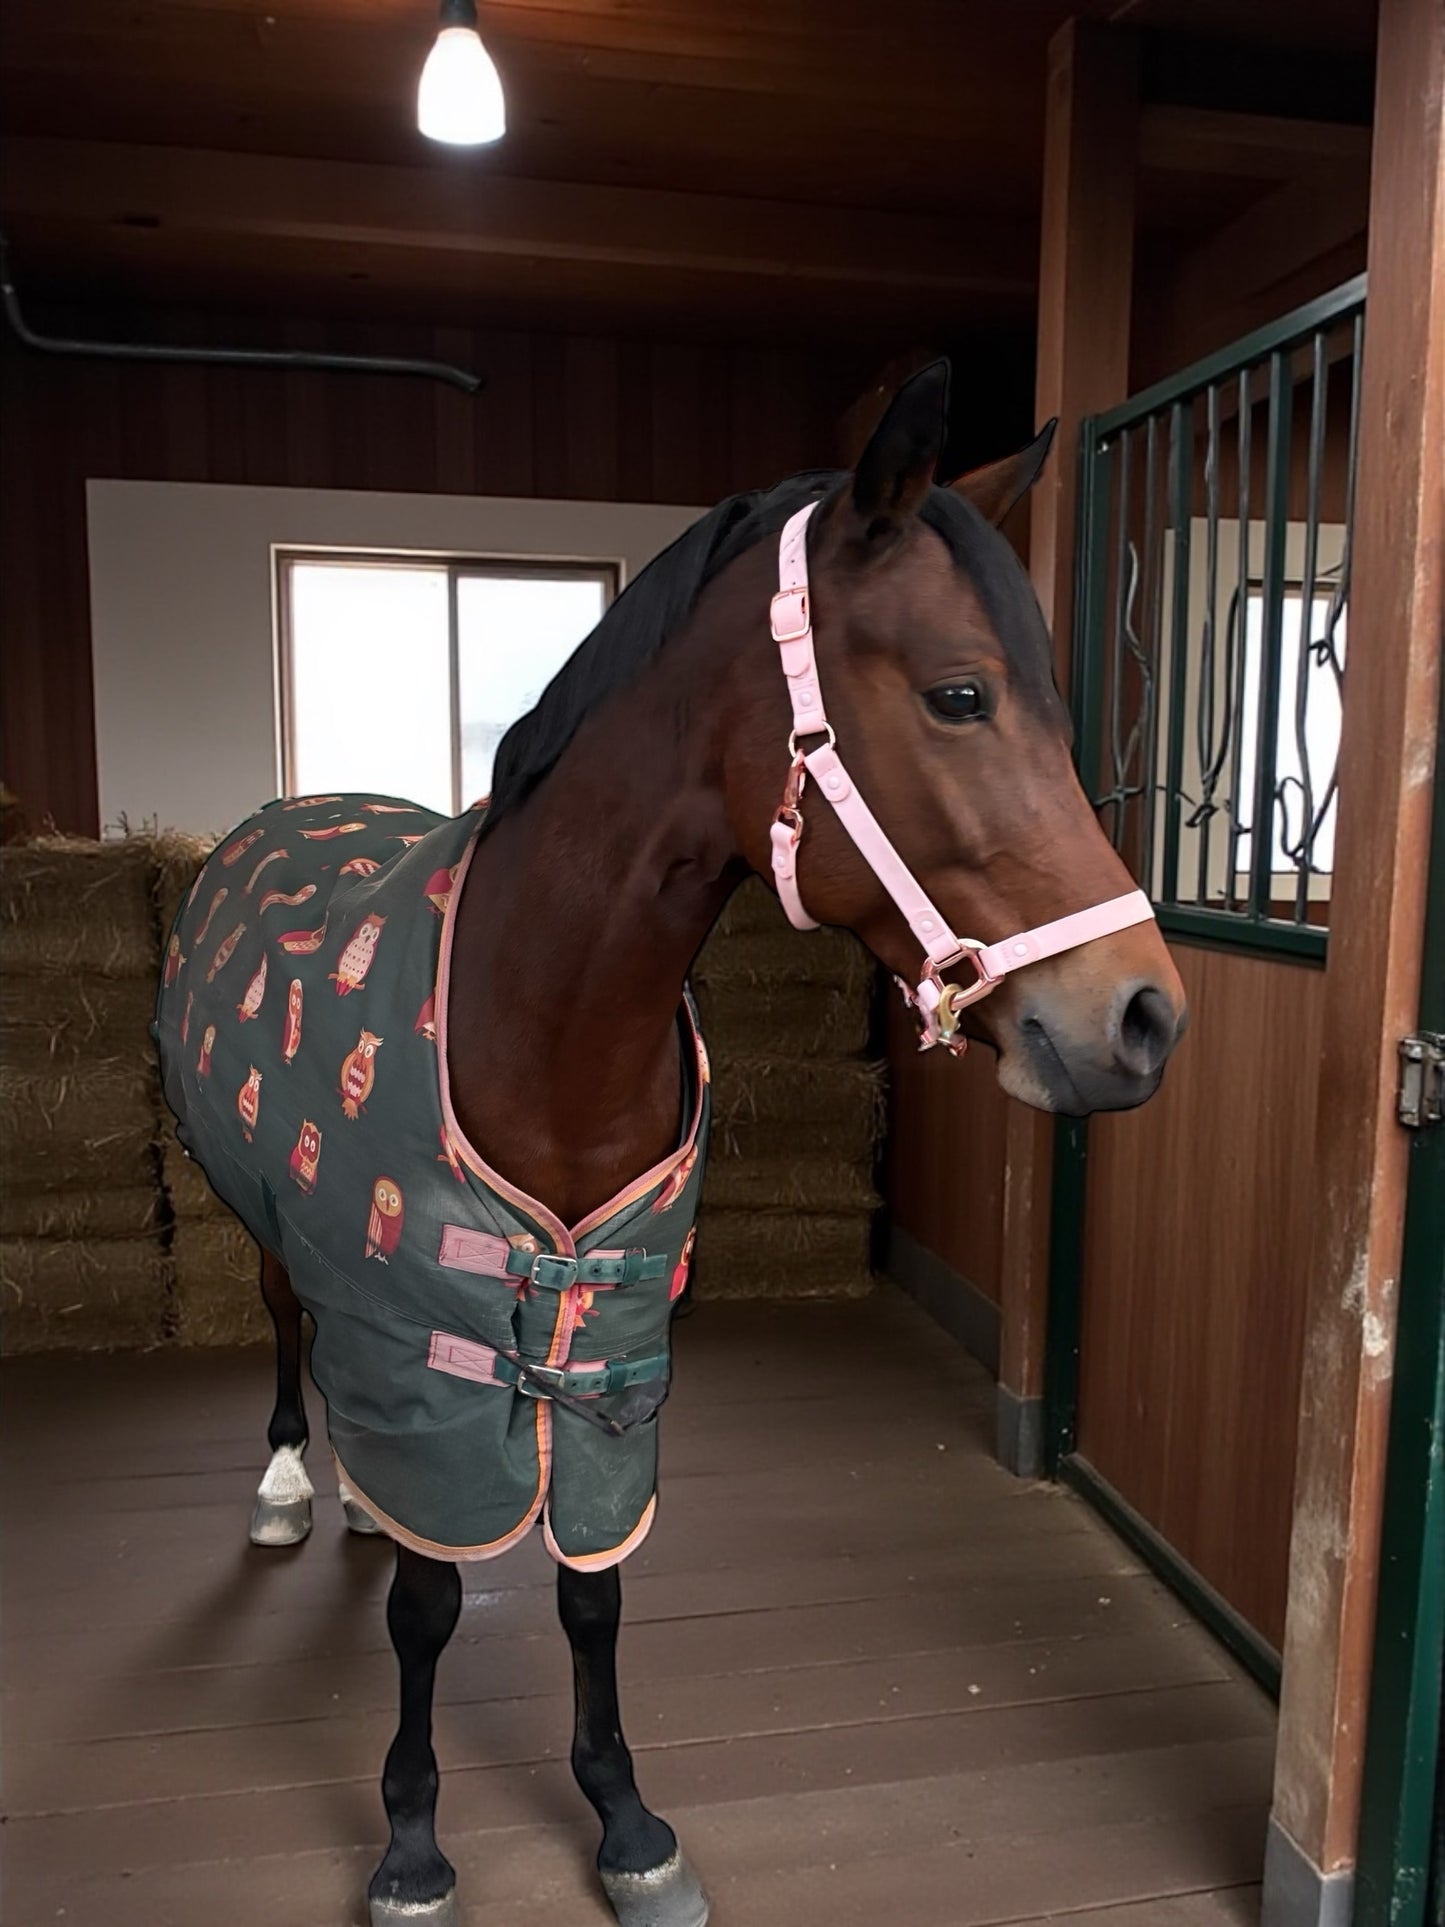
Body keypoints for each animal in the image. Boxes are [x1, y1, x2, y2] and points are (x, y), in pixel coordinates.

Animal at [155, 360, 1187, 1927]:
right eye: (959, 694)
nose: (1141, 1016)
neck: (541, 1024)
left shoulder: (616, 1342)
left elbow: (591, 1581)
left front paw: (627, 1821)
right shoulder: (420, 1316)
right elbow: (432, 1601)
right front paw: (411, 1840)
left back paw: (358, 1501)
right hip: (276, 1217)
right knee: (287, 1330)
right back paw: (289, 1487)